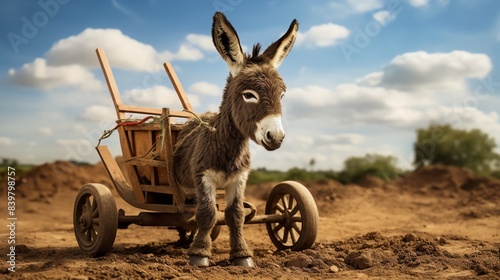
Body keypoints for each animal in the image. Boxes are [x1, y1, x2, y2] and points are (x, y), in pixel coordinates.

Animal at [173, 12, 296, 268]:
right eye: (249, 95)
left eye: (282, 95)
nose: (276, 137)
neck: (227, 147)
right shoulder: (203, 175)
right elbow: (207, 213)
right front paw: (199, 254)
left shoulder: (239, 178)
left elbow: (235, 215)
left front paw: (242, 255)